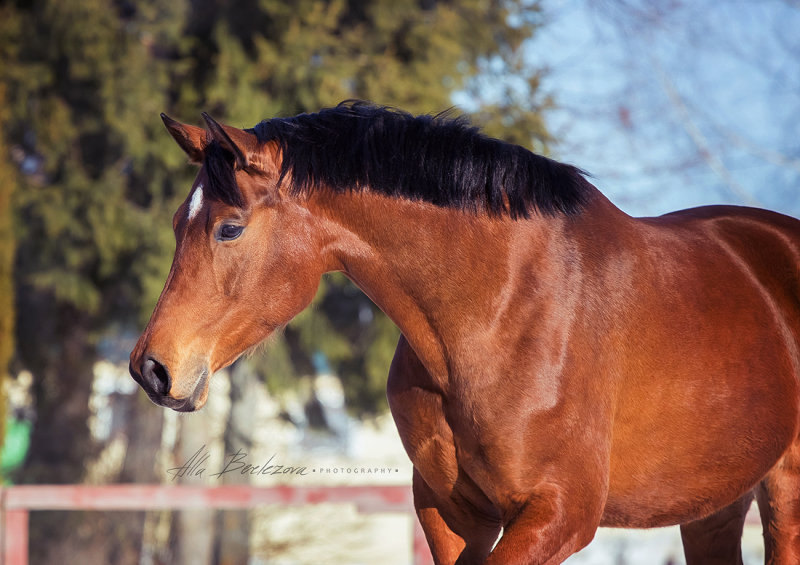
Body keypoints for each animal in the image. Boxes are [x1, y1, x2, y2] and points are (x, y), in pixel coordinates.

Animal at [130, 102, 800, 564]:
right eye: (178, 221)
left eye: (230, 228)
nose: (150, 369)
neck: (495, 312)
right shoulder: (452, 512)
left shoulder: (559, 514)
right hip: (714, 506)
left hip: (784, 495)